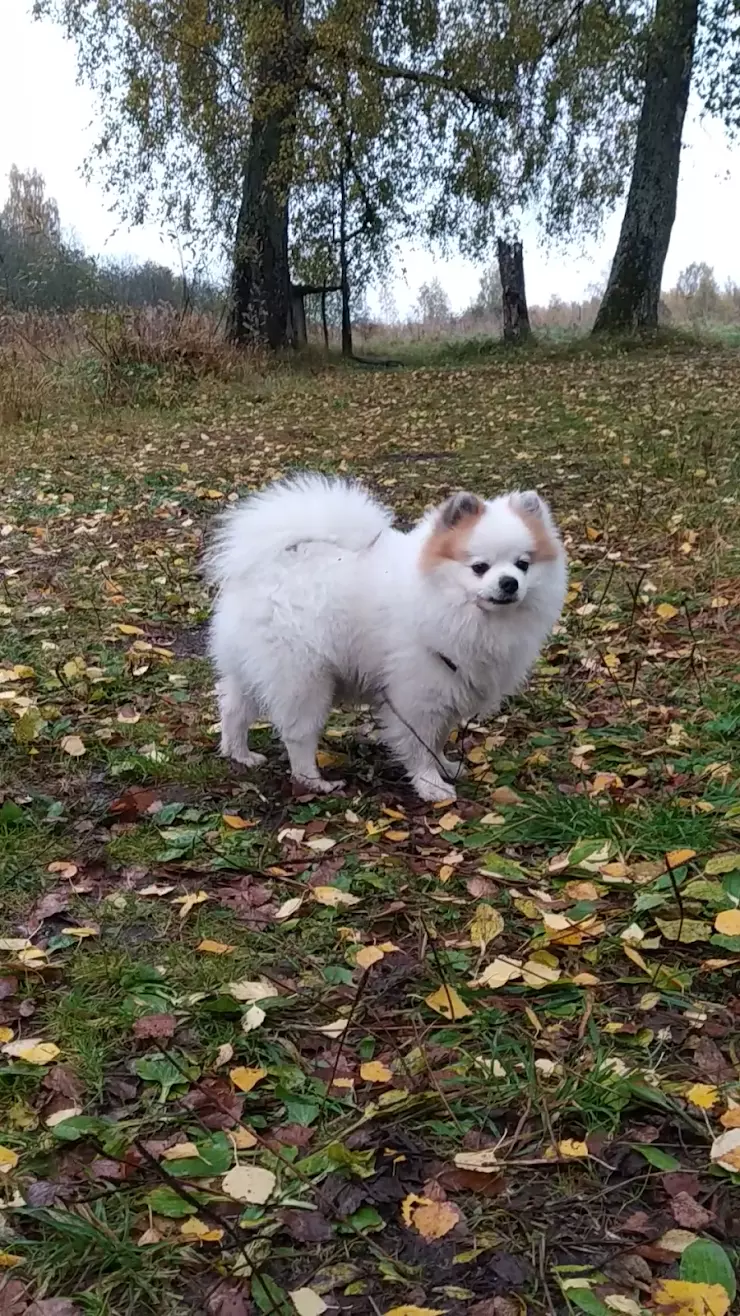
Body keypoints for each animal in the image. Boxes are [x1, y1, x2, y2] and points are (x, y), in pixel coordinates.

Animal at [202, 473, 563, 800]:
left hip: (252, 668)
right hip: (303, 679)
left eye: (523, 564)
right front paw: (431, 785)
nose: (509, 583)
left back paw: (239, 753)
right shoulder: (418, 692)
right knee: (298, 735)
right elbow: (420, 745)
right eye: (479, 567)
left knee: (233, 708)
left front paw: (446, 765)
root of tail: (273, 562)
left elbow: (438, 738)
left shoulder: (450, 687)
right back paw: (314, 781)